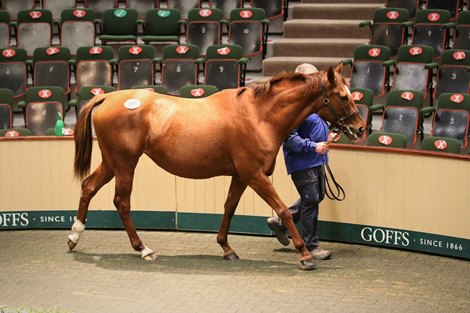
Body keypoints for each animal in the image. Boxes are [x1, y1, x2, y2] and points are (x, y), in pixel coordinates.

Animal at [69, 64, 364, 270]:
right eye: (342, 96)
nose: (360, 128)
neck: (259, 115)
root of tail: (107, 98)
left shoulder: (241, 176)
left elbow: (229, 207)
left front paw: (226, 248)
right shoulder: (255, 175)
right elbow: (283, 210)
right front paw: (305, 255)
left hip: (112, 162)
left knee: (88, 187)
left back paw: (74, 236)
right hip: (125, 164)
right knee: (121, 202)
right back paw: (143, 249)